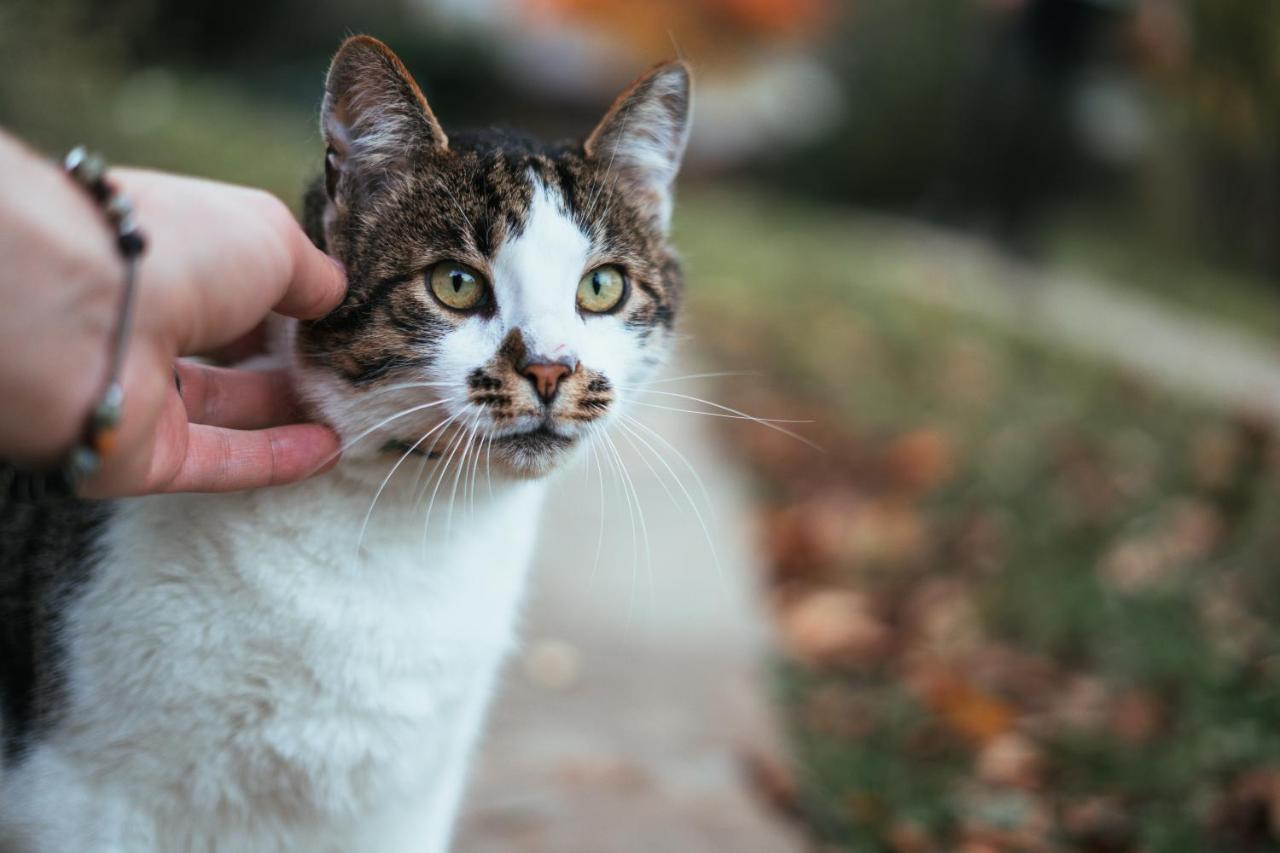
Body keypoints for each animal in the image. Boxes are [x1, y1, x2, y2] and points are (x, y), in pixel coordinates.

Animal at [0, 34, 691, 850]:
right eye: (456, 283)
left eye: (602, 287)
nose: (551, 367)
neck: (406, 529)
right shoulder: (79, 798)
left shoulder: (401, 809)